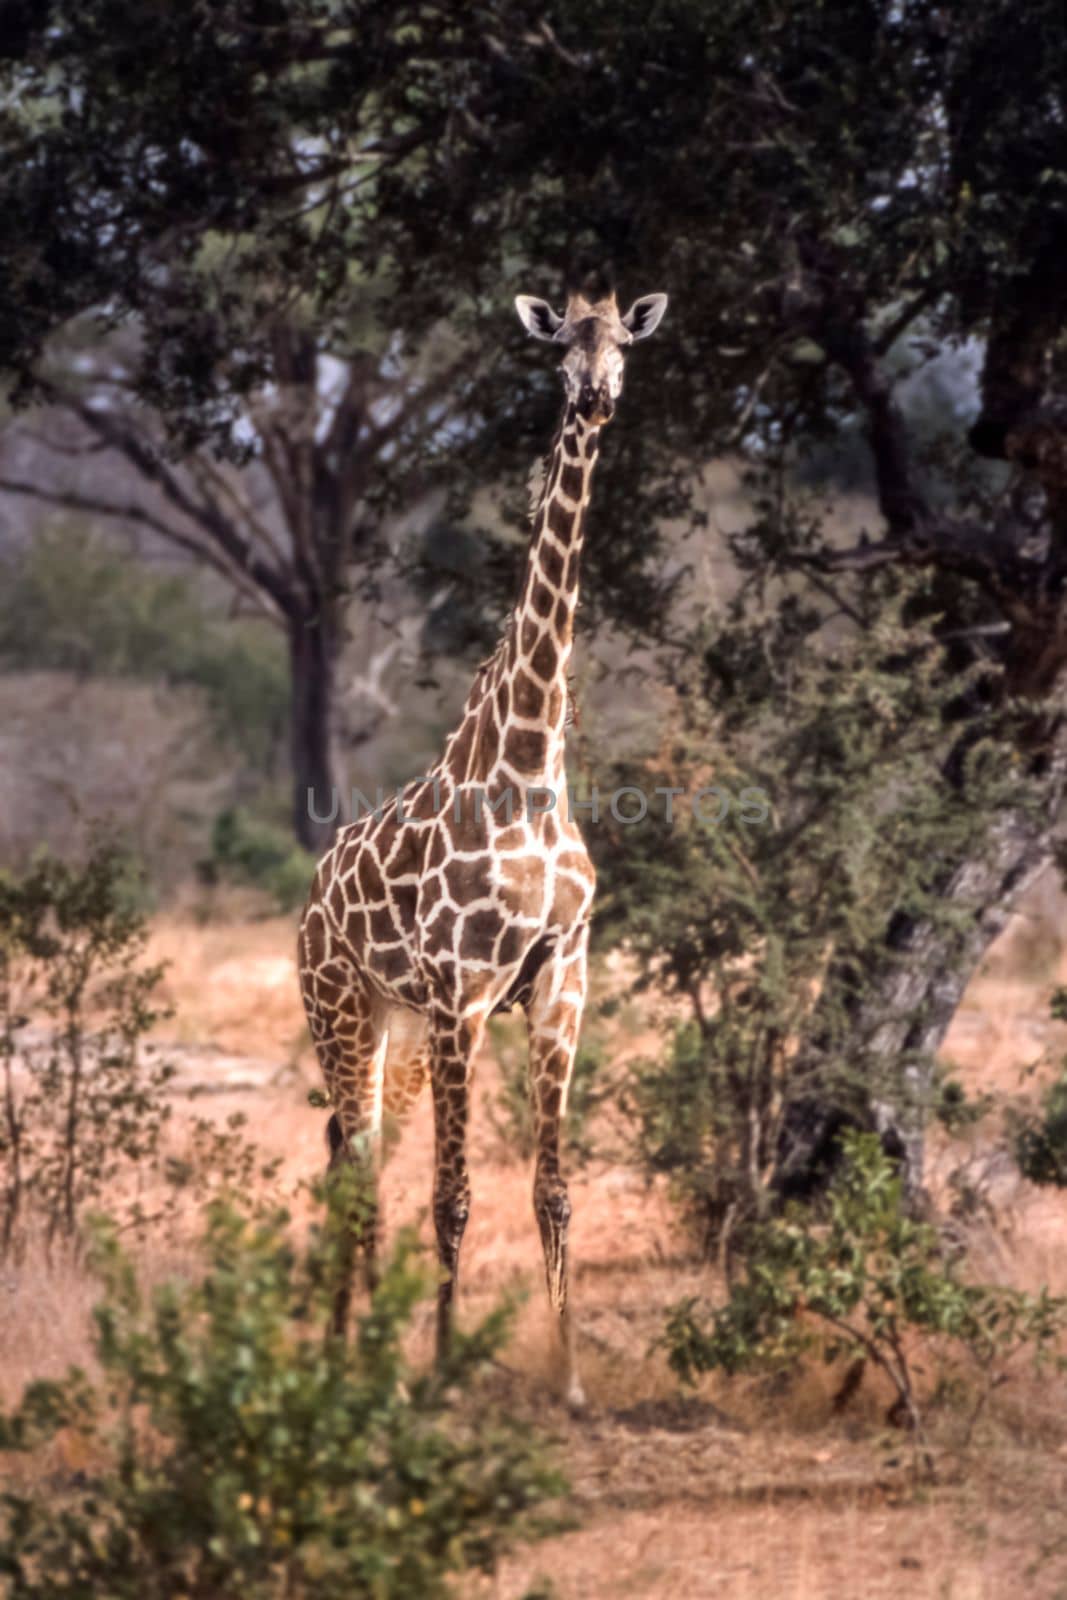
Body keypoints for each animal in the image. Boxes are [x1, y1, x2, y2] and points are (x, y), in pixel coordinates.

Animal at [300, 288, 668, 1401]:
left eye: (624, 342)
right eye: (559, 348)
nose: (594, 398)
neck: (530, 764)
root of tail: (308, 901)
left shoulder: (561, 984)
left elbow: (551, 1189)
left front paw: (570, 1378)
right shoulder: (462, 993)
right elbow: (453, 1194)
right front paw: (440, 1371)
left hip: (396, 1027)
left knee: (354, 1159)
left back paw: (351, 1348)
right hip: (341, 1009)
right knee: (361, 1167)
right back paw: (359, 1363)